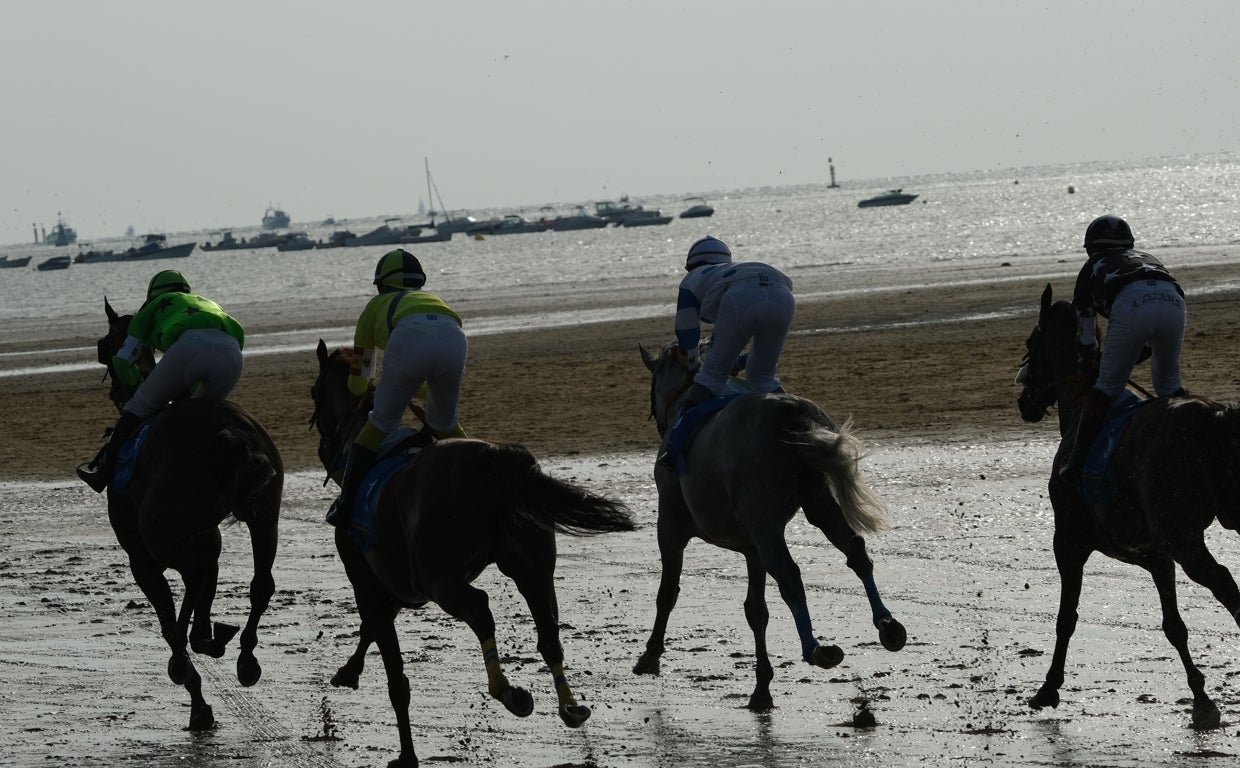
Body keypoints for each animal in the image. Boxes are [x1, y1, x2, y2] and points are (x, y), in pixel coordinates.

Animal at [93, 297, 283, 729]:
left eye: (104, 347)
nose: (114, 389)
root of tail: (228, 431)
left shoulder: (143, 559)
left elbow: (169, 613)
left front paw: (194, 694)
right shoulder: (203, 539)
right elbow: (204, 589)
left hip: (163, 536)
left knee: (193, 591)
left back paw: (193, 650)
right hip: (266, 515)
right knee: (260, 584)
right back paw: (242, 656)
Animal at [308, 339, 634, 768]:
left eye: (313, 391)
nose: (322, 447)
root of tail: (494, 461)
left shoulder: (367, 581)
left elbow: (394, 671)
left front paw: (406, 754)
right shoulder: (395, 588)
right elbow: (371, 630)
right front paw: (348, 670)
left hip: (441, 579)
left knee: (480, 608)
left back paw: (508, 691)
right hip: (532, 568)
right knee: (548, 632)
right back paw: (570, 706)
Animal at [1016, 285, 1240, 729]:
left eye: (1032, 343)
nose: (1023, 400)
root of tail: (1214, 415)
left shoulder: (1069, 542)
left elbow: (1066, 618)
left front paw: (1049, 688)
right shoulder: (1157, 556)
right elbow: (1174, 626)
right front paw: (1202, 698)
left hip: (1185, 537)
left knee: (1225, 583)